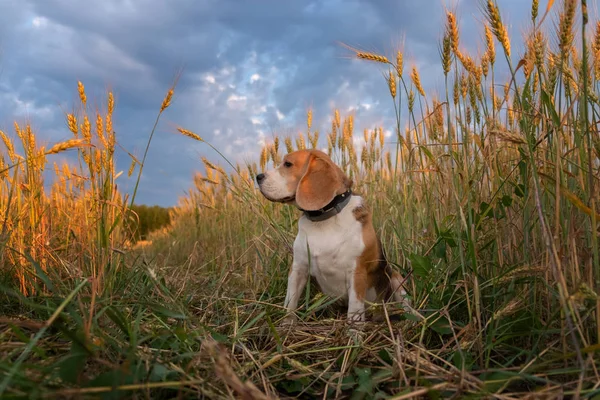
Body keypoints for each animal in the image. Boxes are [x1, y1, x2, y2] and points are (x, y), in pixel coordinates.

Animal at [255, 148, 410, 324]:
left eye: (288, 164)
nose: (258, 176)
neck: (323, 219)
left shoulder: (357, 274)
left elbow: (354, 310)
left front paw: (354, 331)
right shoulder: (297, 269)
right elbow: (290, 303)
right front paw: (286, 325)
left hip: (396, 278)